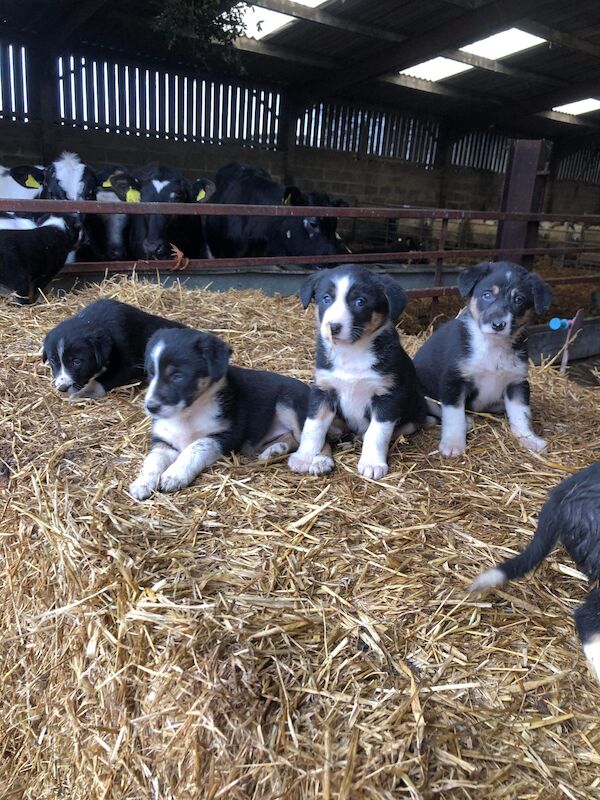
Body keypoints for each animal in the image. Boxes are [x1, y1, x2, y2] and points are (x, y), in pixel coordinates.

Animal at [129, 328, 312, 496]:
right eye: (151, 373)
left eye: (178, 376)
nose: (151, 407)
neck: (189, 413)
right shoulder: (164, 441)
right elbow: (153, 460)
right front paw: (142, 483)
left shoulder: (226, 435)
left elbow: (195, 447)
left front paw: (175, 474)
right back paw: (274, 451)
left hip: (288, 402)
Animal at [286, 266, 426, 482]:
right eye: (326, 298)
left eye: (360, 301)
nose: (333, 327)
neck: (351, 352)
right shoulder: (323, 391)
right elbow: (313, 427)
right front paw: (304, 456)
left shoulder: (389, 395)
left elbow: (377, 433)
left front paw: (372, 463)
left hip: (414, 415)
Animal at [412, 262, 552, 456]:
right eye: (487, 295)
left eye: (518, 300)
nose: (498, 325)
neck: (492, 345)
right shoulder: (454, 380)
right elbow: (453, 416)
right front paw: (453, 444)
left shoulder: (517, 382)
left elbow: (521, 414)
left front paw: (530, 439)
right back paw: (467, 421)